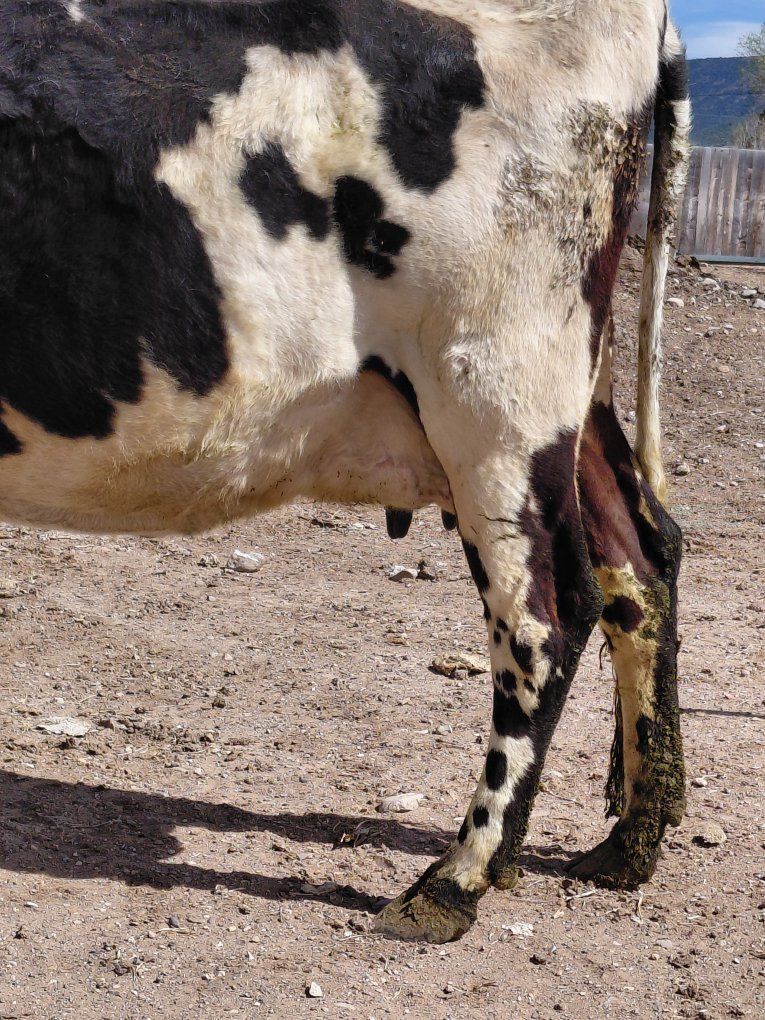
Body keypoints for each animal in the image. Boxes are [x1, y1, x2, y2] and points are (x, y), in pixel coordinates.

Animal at [0, 0, 690, 942]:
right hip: (569, 396)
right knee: (641, 559)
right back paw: (627, 847)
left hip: (494, 391)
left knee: (547, 615)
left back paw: (455, 879)